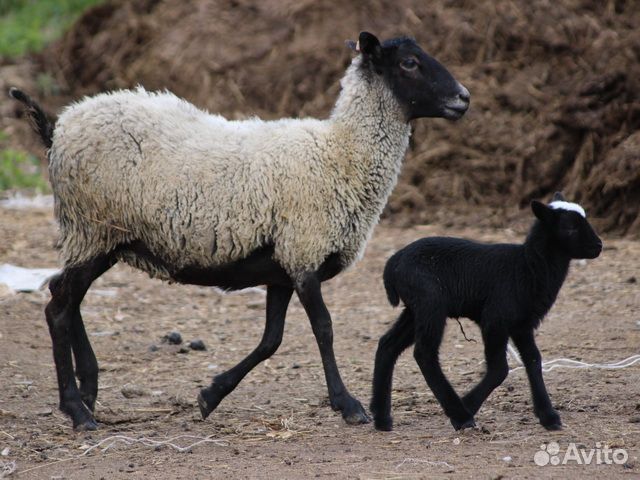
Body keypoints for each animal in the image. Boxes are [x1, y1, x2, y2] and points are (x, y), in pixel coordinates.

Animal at [11, 33, 470, 432]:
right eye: (409, 63)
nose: (464, 98)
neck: (341, 154)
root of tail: (57, 130)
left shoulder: (282, 267)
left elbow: (271, 340)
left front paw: (210, 395)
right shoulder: (304, 252)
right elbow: (323, 329)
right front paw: (348, 405)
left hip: (98, 236)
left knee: (63, 296)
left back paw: (89, 391)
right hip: (93, 228)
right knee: (58, 309)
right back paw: (77, 409)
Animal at [370, 191, 604, 432]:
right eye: (569, 227)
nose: (598, 245)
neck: (528, 267)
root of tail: (392, 265)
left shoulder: (522, 324)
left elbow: (533, 360)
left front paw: (549, 416)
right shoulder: (495, 319)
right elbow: (500, 369)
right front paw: (467, 404)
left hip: (415, 309)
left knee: (388, 345)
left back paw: (382, 417)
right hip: (430, 303)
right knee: (424, 353)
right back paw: (460, 414)